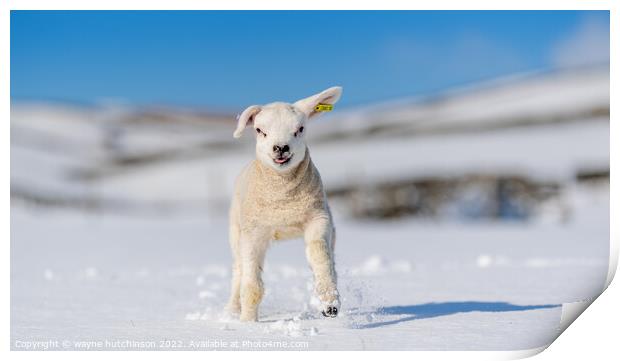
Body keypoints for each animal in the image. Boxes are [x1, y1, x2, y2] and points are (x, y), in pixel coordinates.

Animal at [226, 86, 344, 320]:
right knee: (239, 270)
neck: (283, 201)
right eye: (260, 130)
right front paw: (247, 322)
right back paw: (232, 311)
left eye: (300, 129)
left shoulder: (318, 218)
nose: (280, 147)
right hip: (236, 231)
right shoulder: (253, 231)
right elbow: (251, 285)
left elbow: (318, 253)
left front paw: (330, 304)